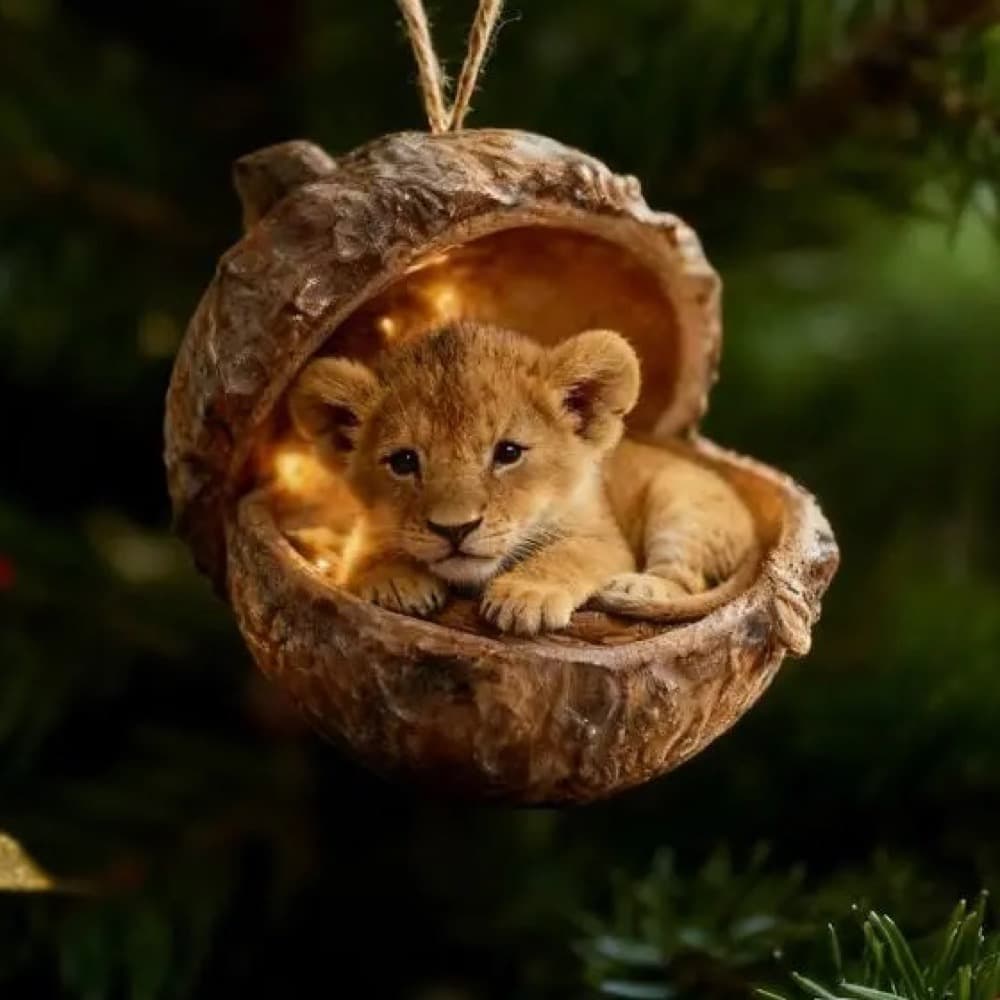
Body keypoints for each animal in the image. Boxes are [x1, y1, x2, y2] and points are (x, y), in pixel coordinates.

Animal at [287, 321, 758, 635]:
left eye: (508, 453)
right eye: (403, 461)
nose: (454, 529)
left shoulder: (605, 537)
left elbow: (567, 553)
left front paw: (525, 595)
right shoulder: (369, 526)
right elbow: (366, 547)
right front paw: (393, 580)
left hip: (682, 502)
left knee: (686, 579)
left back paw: (637, 587)